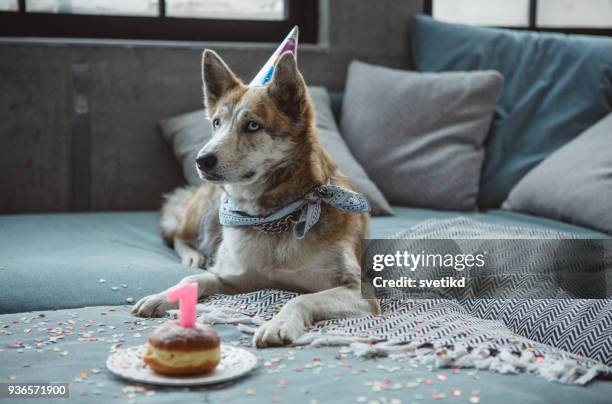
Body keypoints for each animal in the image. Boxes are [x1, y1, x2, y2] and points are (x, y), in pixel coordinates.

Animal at [133, 49, 378, 348]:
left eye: (252, 126)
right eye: (216, 123)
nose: (201, 160)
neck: (275, 218)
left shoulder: (358, 291)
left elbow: (301, 299)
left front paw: (278, 324)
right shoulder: (232, 275)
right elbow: (195, 279)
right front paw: (165, 295)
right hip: (208, 208)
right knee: (178, 235)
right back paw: (193, 255)